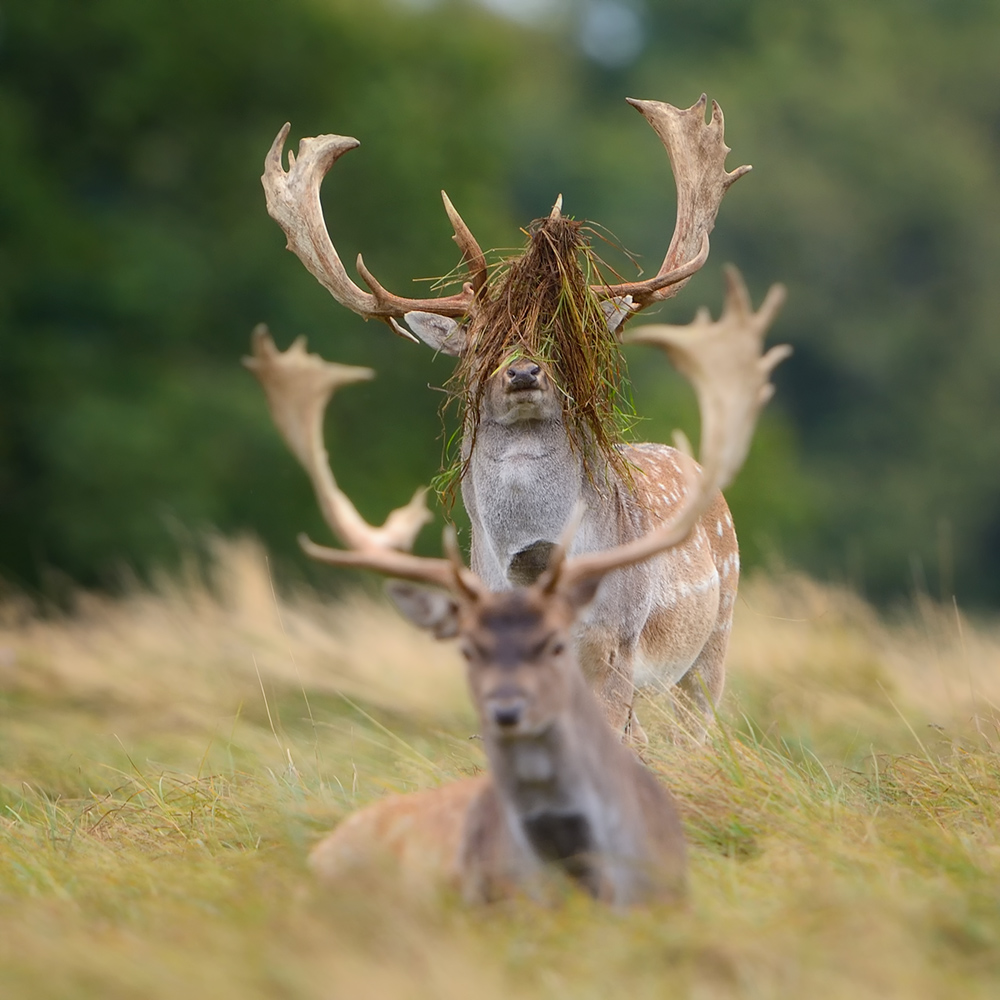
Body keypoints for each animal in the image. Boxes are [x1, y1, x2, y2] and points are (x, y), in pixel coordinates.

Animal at [244, 268, 788, 908]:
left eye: (557, 332)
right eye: (478, 338)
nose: (524, 372)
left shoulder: (617, 640)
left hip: (713, 639)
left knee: (692, 733)